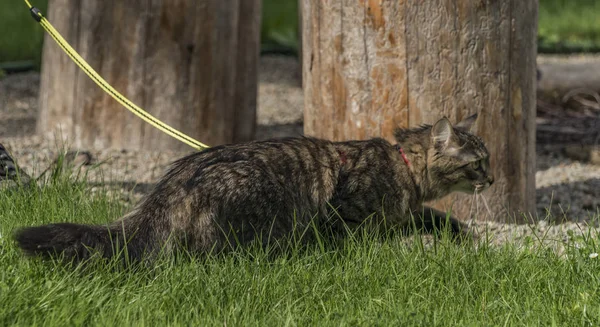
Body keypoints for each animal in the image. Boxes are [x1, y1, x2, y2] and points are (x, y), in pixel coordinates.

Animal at [15, 116, 492, 262]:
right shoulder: (345, 211)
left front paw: (463, 236)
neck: (405, 169)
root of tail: (172, 186)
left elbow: (434, 218)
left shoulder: (400, 215)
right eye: (478, 163)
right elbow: (346, 241)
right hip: (253, 216)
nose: (492, 178)